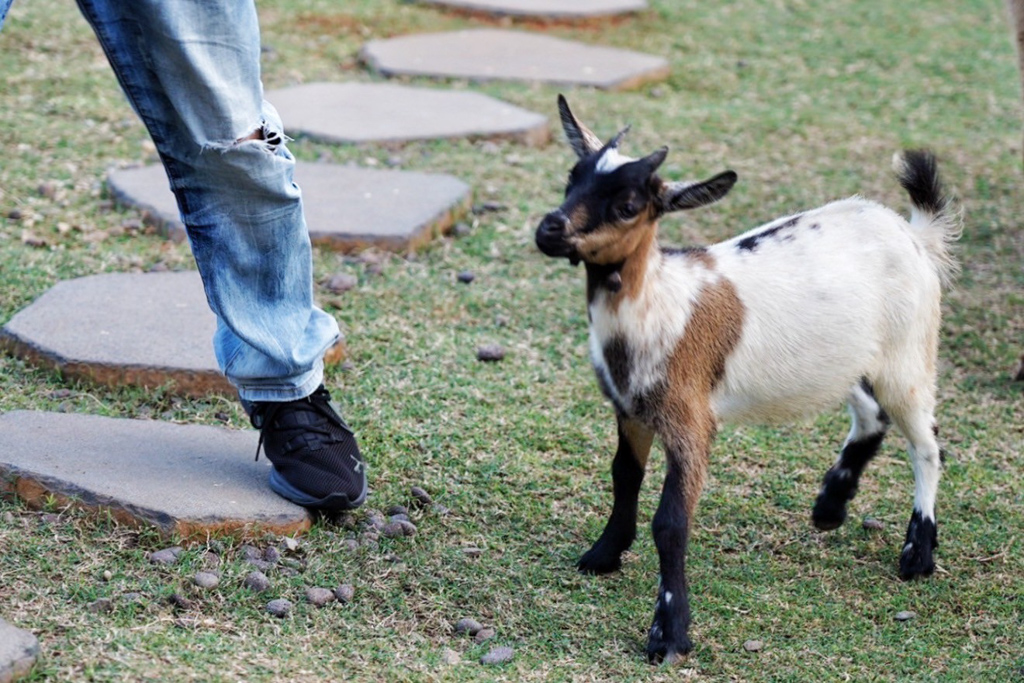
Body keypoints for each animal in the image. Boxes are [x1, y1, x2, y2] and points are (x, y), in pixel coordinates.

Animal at [536, 93, 958, 663]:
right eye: (571, 178)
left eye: (627, 204)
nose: (549, 229)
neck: (658, 305)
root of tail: (913, 232)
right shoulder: (630, 408)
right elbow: (623, 476)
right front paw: (603, 554)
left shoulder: (690, 419)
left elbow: (671, 522)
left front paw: (669, 633)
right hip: (845, 358)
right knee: (871, 413)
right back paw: (830, 505)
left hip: (909, 354)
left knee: (926, 443)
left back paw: (918, 553)